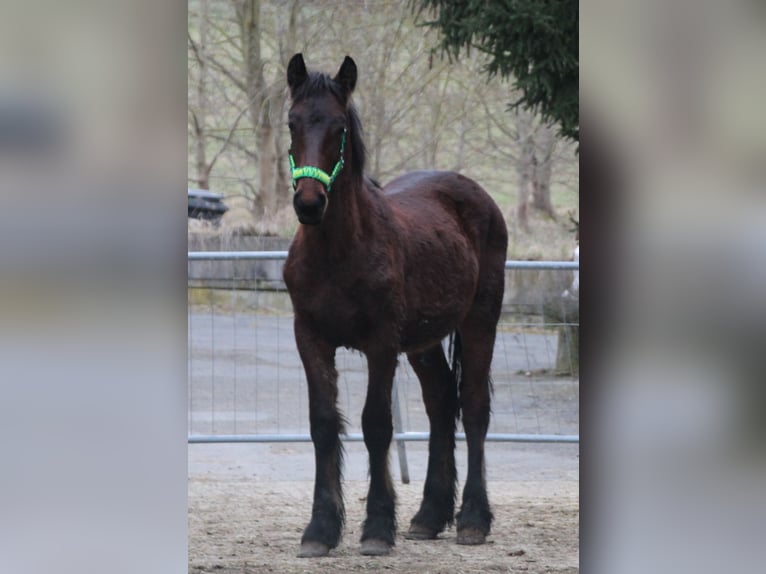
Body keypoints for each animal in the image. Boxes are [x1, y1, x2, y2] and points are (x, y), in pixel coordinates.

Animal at [282, 54, 510, 560]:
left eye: (340, 127)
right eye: (291, 122)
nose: (309, 203)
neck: (337, 252)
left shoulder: (381, 345)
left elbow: (376, 425)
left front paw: (376, 529)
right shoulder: (309, 338)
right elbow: (323, 423)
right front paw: (320, 530)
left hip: (480, 321)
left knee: (474, 407)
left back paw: (472, 520)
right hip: (424, 343)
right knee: (442, 403)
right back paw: (428, 517)